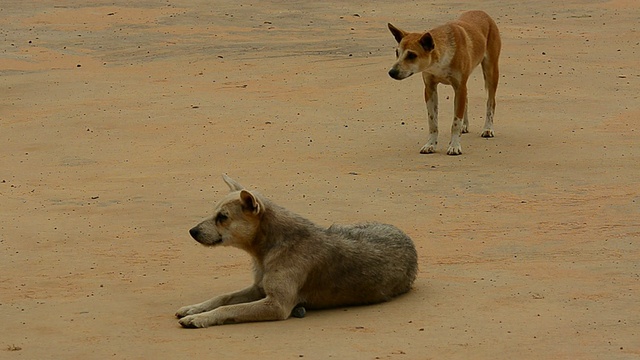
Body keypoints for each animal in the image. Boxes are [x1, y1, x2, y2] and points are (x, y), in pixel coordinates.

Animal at [175, 175, 418, 330]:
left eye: (223, 217)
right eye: (213, 213)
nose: (192, 231)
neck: (270, 247)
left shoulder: (276, 305)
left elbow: (228, 308)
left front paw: (200, 318)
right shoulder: (258, 288)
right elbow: (223, 297)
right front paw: (195, 309)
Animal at [388, 10, 502, 155]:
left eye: (412, 55)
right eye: (397, 53)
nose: (391, 72)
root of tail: (482, 13)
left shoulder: (459, 88)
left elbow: (455, 122)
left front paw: (454, 146)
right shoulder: (430, 89)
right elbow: (433, 122)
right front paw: (430, 144)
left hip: (491, 71)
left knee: (490, 102)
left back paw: (488, 128)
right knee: (467, 100)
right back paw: (465, 125)